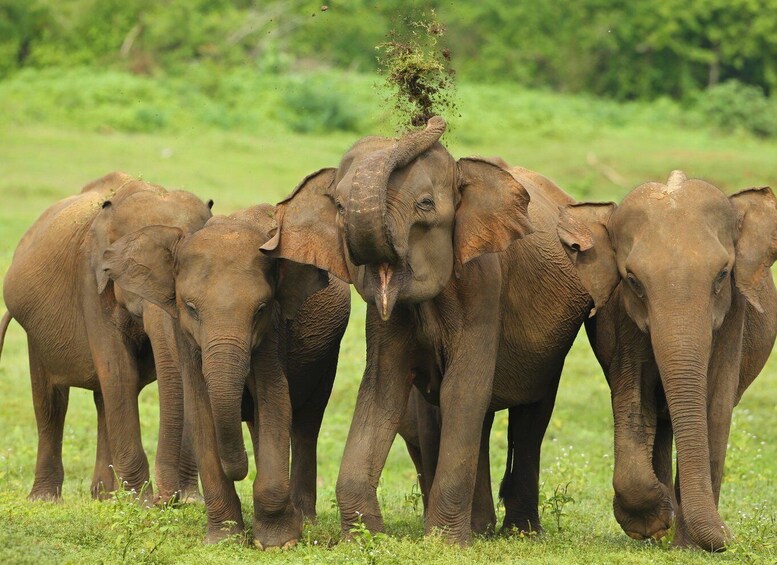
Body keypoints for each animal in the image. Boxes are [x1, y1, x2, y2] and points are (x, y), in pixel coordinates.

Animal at [101, 203, 350, 548]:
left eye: (260, 309)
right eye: (191, 307)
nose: (240, 469)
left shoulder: (273, 333)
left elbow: (275, 401)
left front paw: (278, 543)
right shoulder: (185, 336)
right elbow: (200, 412)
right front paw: (224, 540)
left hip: (327, 355)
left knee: (306, 424)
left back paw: (304, 520)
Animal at [260, 115, 596, 540]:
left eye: (425, 205)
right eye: (338, 206)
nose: (428, 118)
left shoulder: (484, 286)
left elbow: (462, 389)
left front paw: (445, 542)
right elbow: (382, 390)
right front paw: (366, 537)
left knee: (530, 418)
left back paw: (519, 532)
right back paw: (481, 528)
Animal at [556, 170, 776, 548]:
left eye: (723, 274)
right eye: (633, 281)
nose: (730, 535)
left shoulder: (733, 316)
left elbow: (716, 407)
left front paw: (690, 546)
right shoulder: (624, 319)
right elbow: (633, 398)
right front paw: (654, 522)